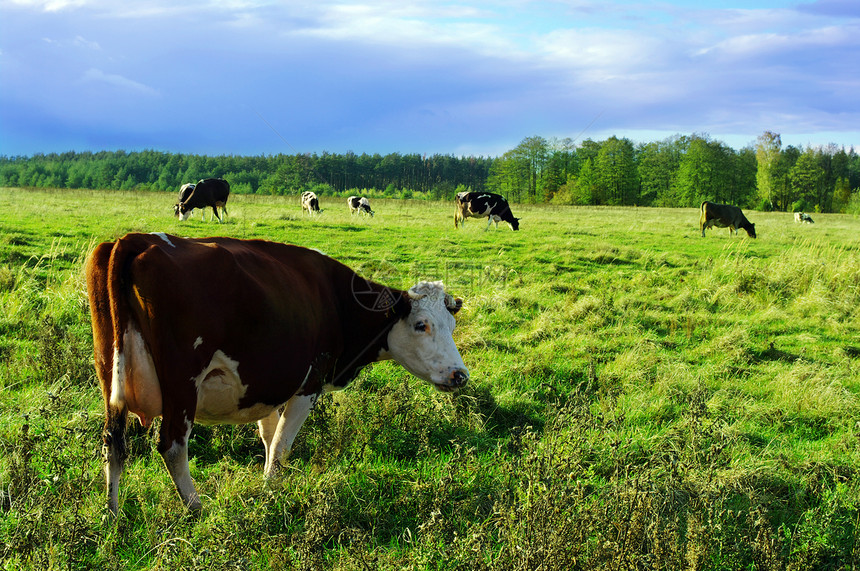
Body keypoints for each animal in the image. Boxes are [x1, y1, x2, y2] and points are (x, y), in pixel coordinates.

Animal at [85, 232, 470, 512]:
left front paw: (268, 484)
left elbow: (269, 440)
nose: (460, 375)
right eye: (421, 325)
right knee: (172, 445)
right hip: (182, 385)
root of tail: (135, 239)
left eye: (451, 325)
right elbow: (282, 446)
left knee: (113, 442)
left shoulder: (264, 388)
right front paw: (270, 493)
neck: (336, 300)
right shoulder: (308, 384)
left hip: (110, 374)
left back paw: (113, 516)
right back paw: (196, 507)